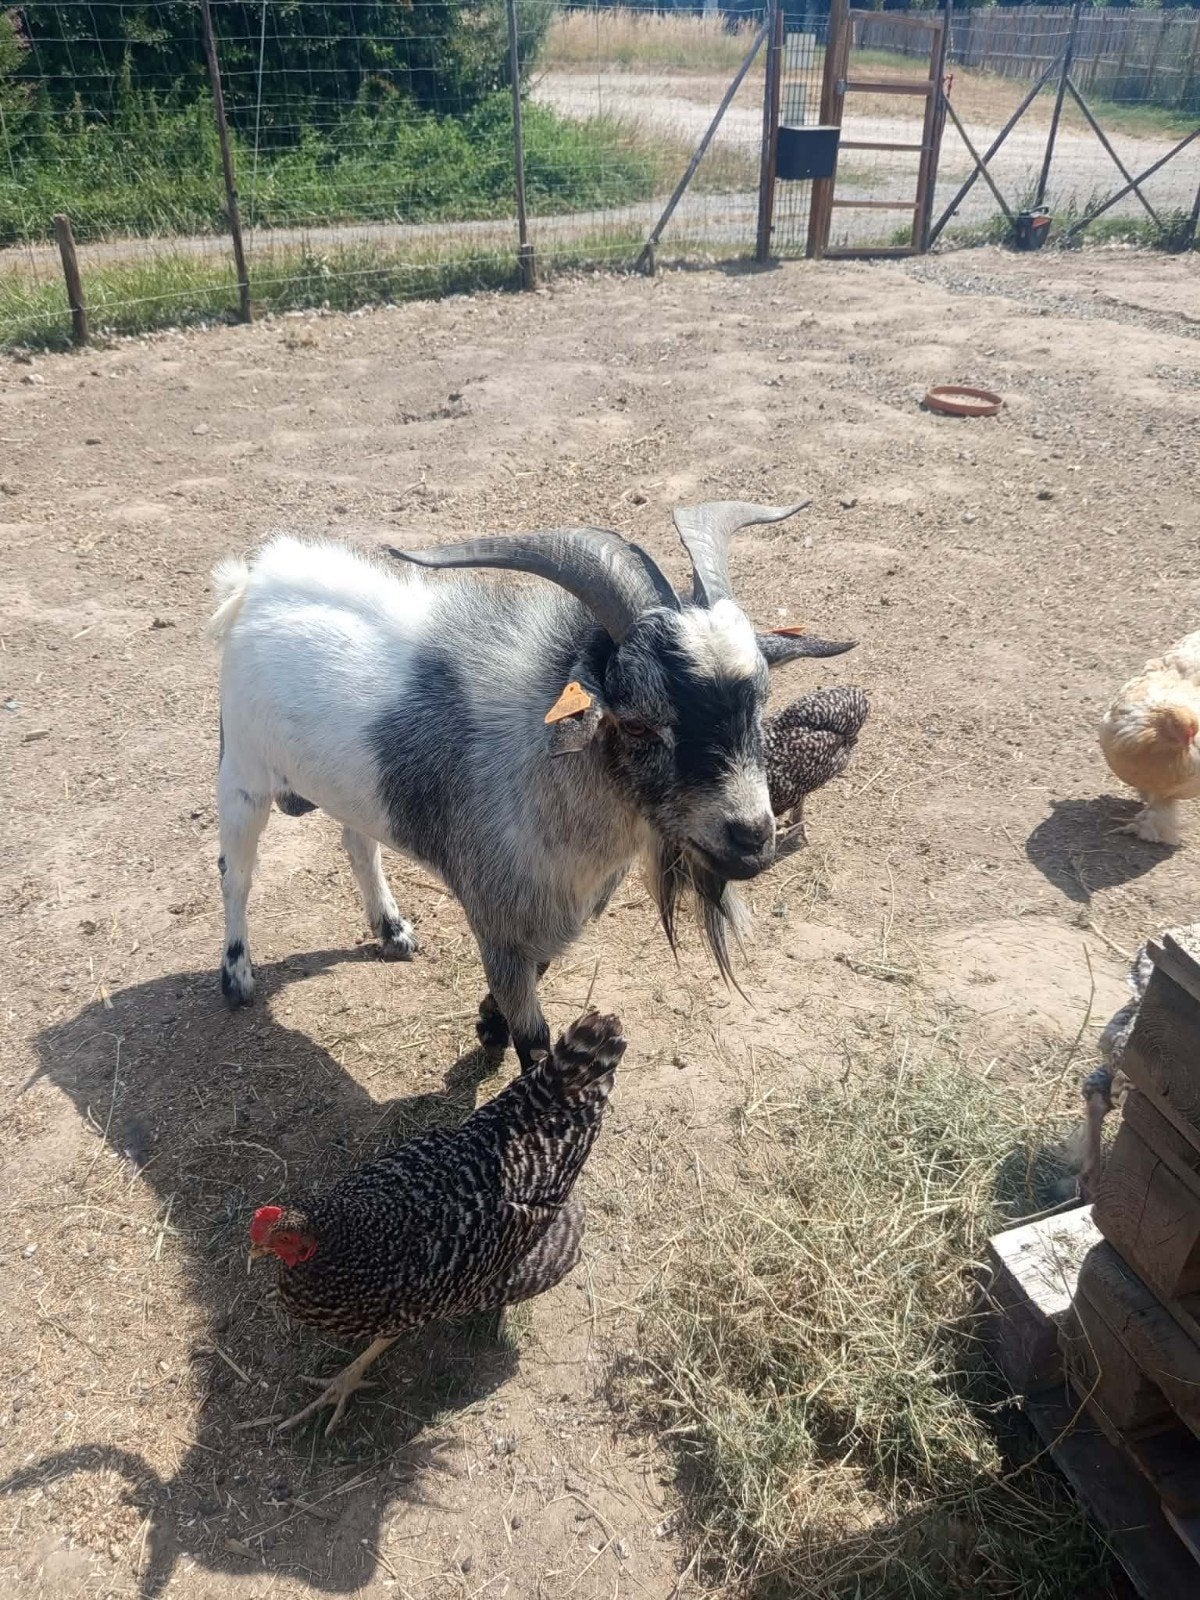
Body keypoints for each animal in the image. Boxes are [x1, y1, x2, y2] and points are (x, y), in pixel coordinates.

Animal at [211, 503, 854, 1070]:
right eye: (638, 721)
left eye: (760, 701)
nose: (752, 837)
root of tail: (255, 581)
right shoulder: (496, 916)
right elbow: (535, 1036)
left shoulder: (548, 917)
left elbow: (534, 979)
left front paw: (486, 1024)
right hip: (242, 772)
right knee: (236, 873)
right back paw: (237, 975)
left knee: (357, 840)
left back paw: (391, 931)